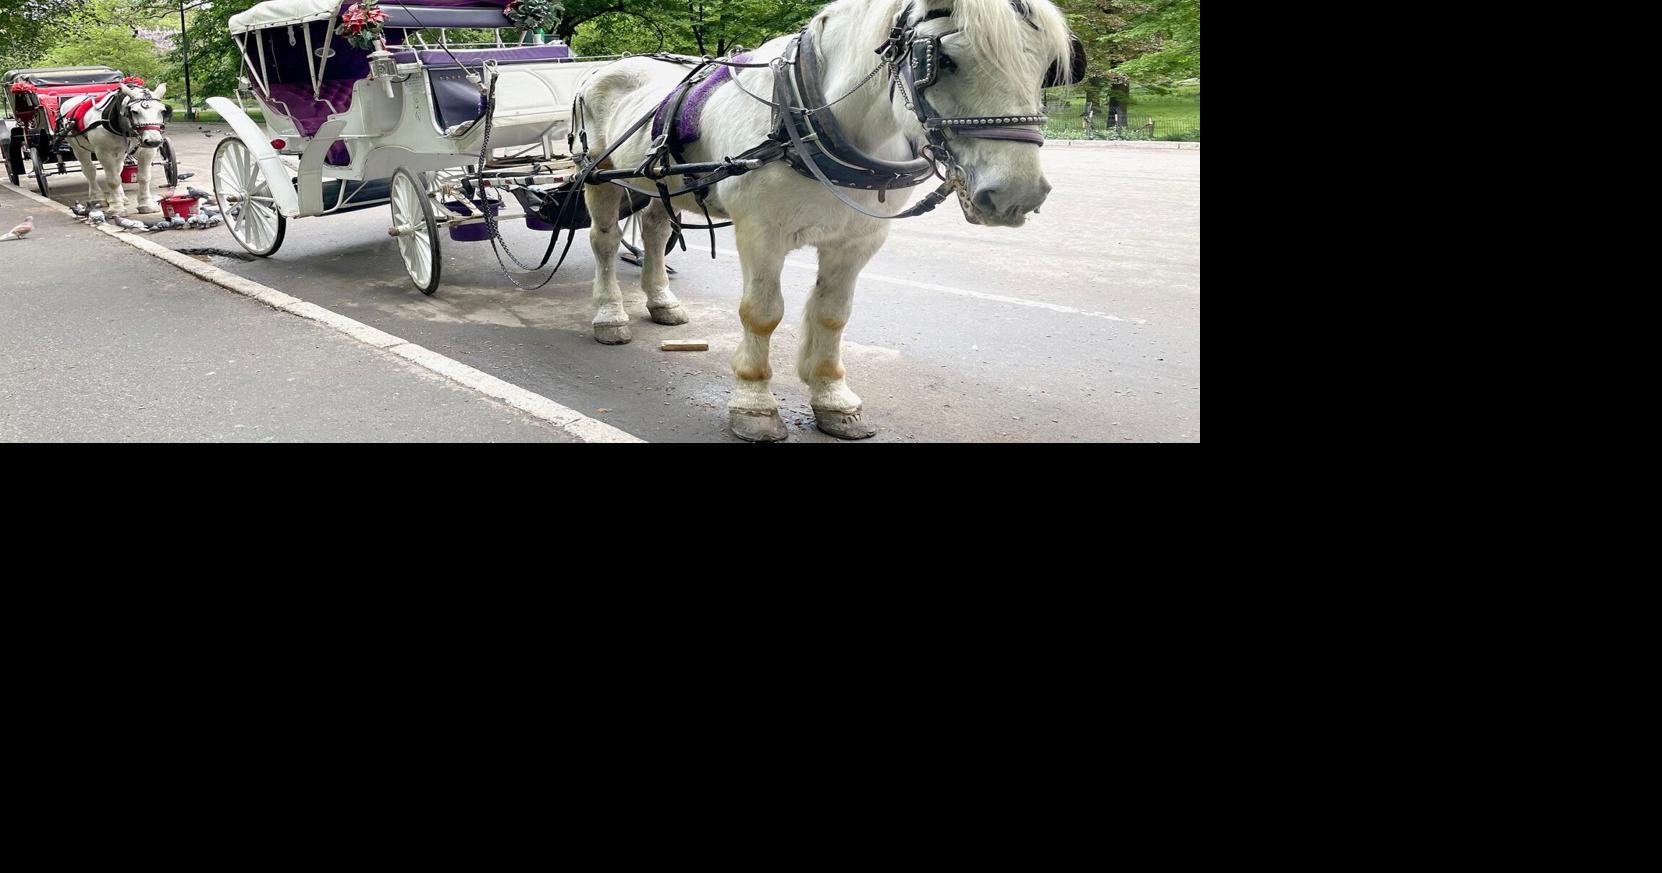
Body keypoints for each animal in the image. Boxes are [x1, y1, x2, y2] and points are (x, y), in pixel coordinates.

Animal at [61, 82, 171, 214]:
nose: (153, 141)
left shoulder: (146, 151)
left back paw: (121, 197)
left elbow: (143, 178)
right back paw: (97, 197)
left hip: (120, 153)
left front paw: (146, 204)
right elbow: (113, 180)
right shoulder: (104, 153)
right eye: (134, 111)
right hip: (79, 148)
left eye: (162, 111)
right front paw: (116, 207)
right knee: (89, 170)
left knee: (118, 170)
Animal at [573, 0, 1076, 441]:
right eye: (943, 60)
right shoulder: (761, 234)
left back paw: (661, 301)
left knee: (656, 230)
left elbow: (833, 315)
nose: (1016, 194)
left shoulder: (857, 240)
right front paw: (754, 403)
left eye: (1046, 67)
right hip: (600, 175)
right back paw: (609, 315)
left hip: (662, 182)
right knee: (605, 241)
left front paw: (833, 398)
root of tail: (603, 67)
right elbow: (761, 314)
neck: (808, 117)